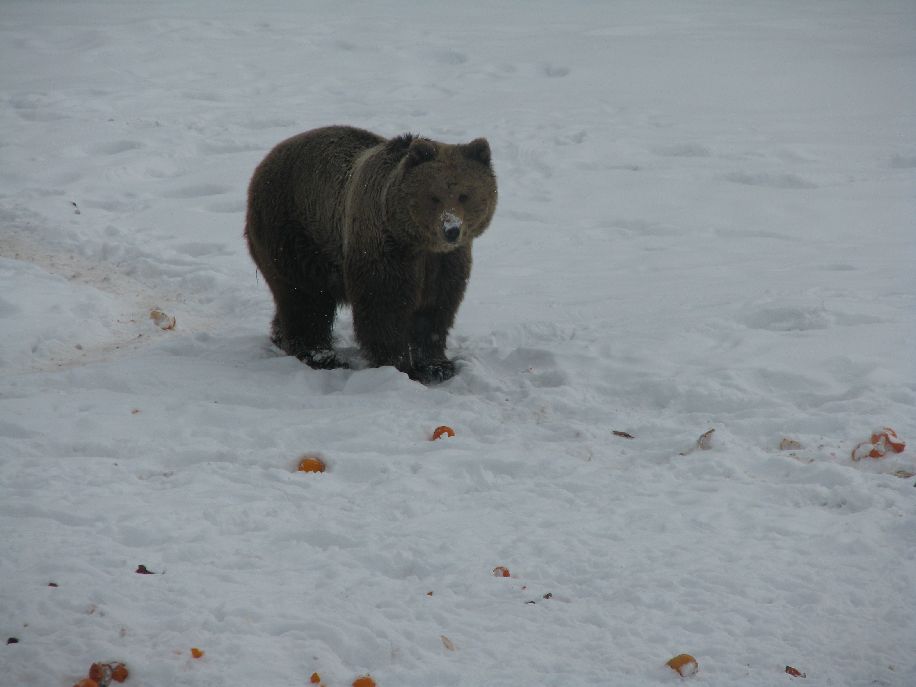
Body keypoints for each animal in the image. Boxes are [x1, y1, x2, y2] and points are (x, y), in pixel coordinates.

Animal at [243, 126, 498, 384]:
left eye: (465, 195)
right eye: (433, 196)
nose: (451, 229)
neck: (417, 242)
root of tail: (267, 159)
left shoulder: (444, 263)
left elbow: (436, 309)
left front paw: (437, 366)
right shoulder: (385, 251)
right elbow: (384, 308)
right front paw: (398, 365)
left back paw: (280, 336)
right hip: (294, 233)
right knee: (305, 299)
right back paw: (322, 356)